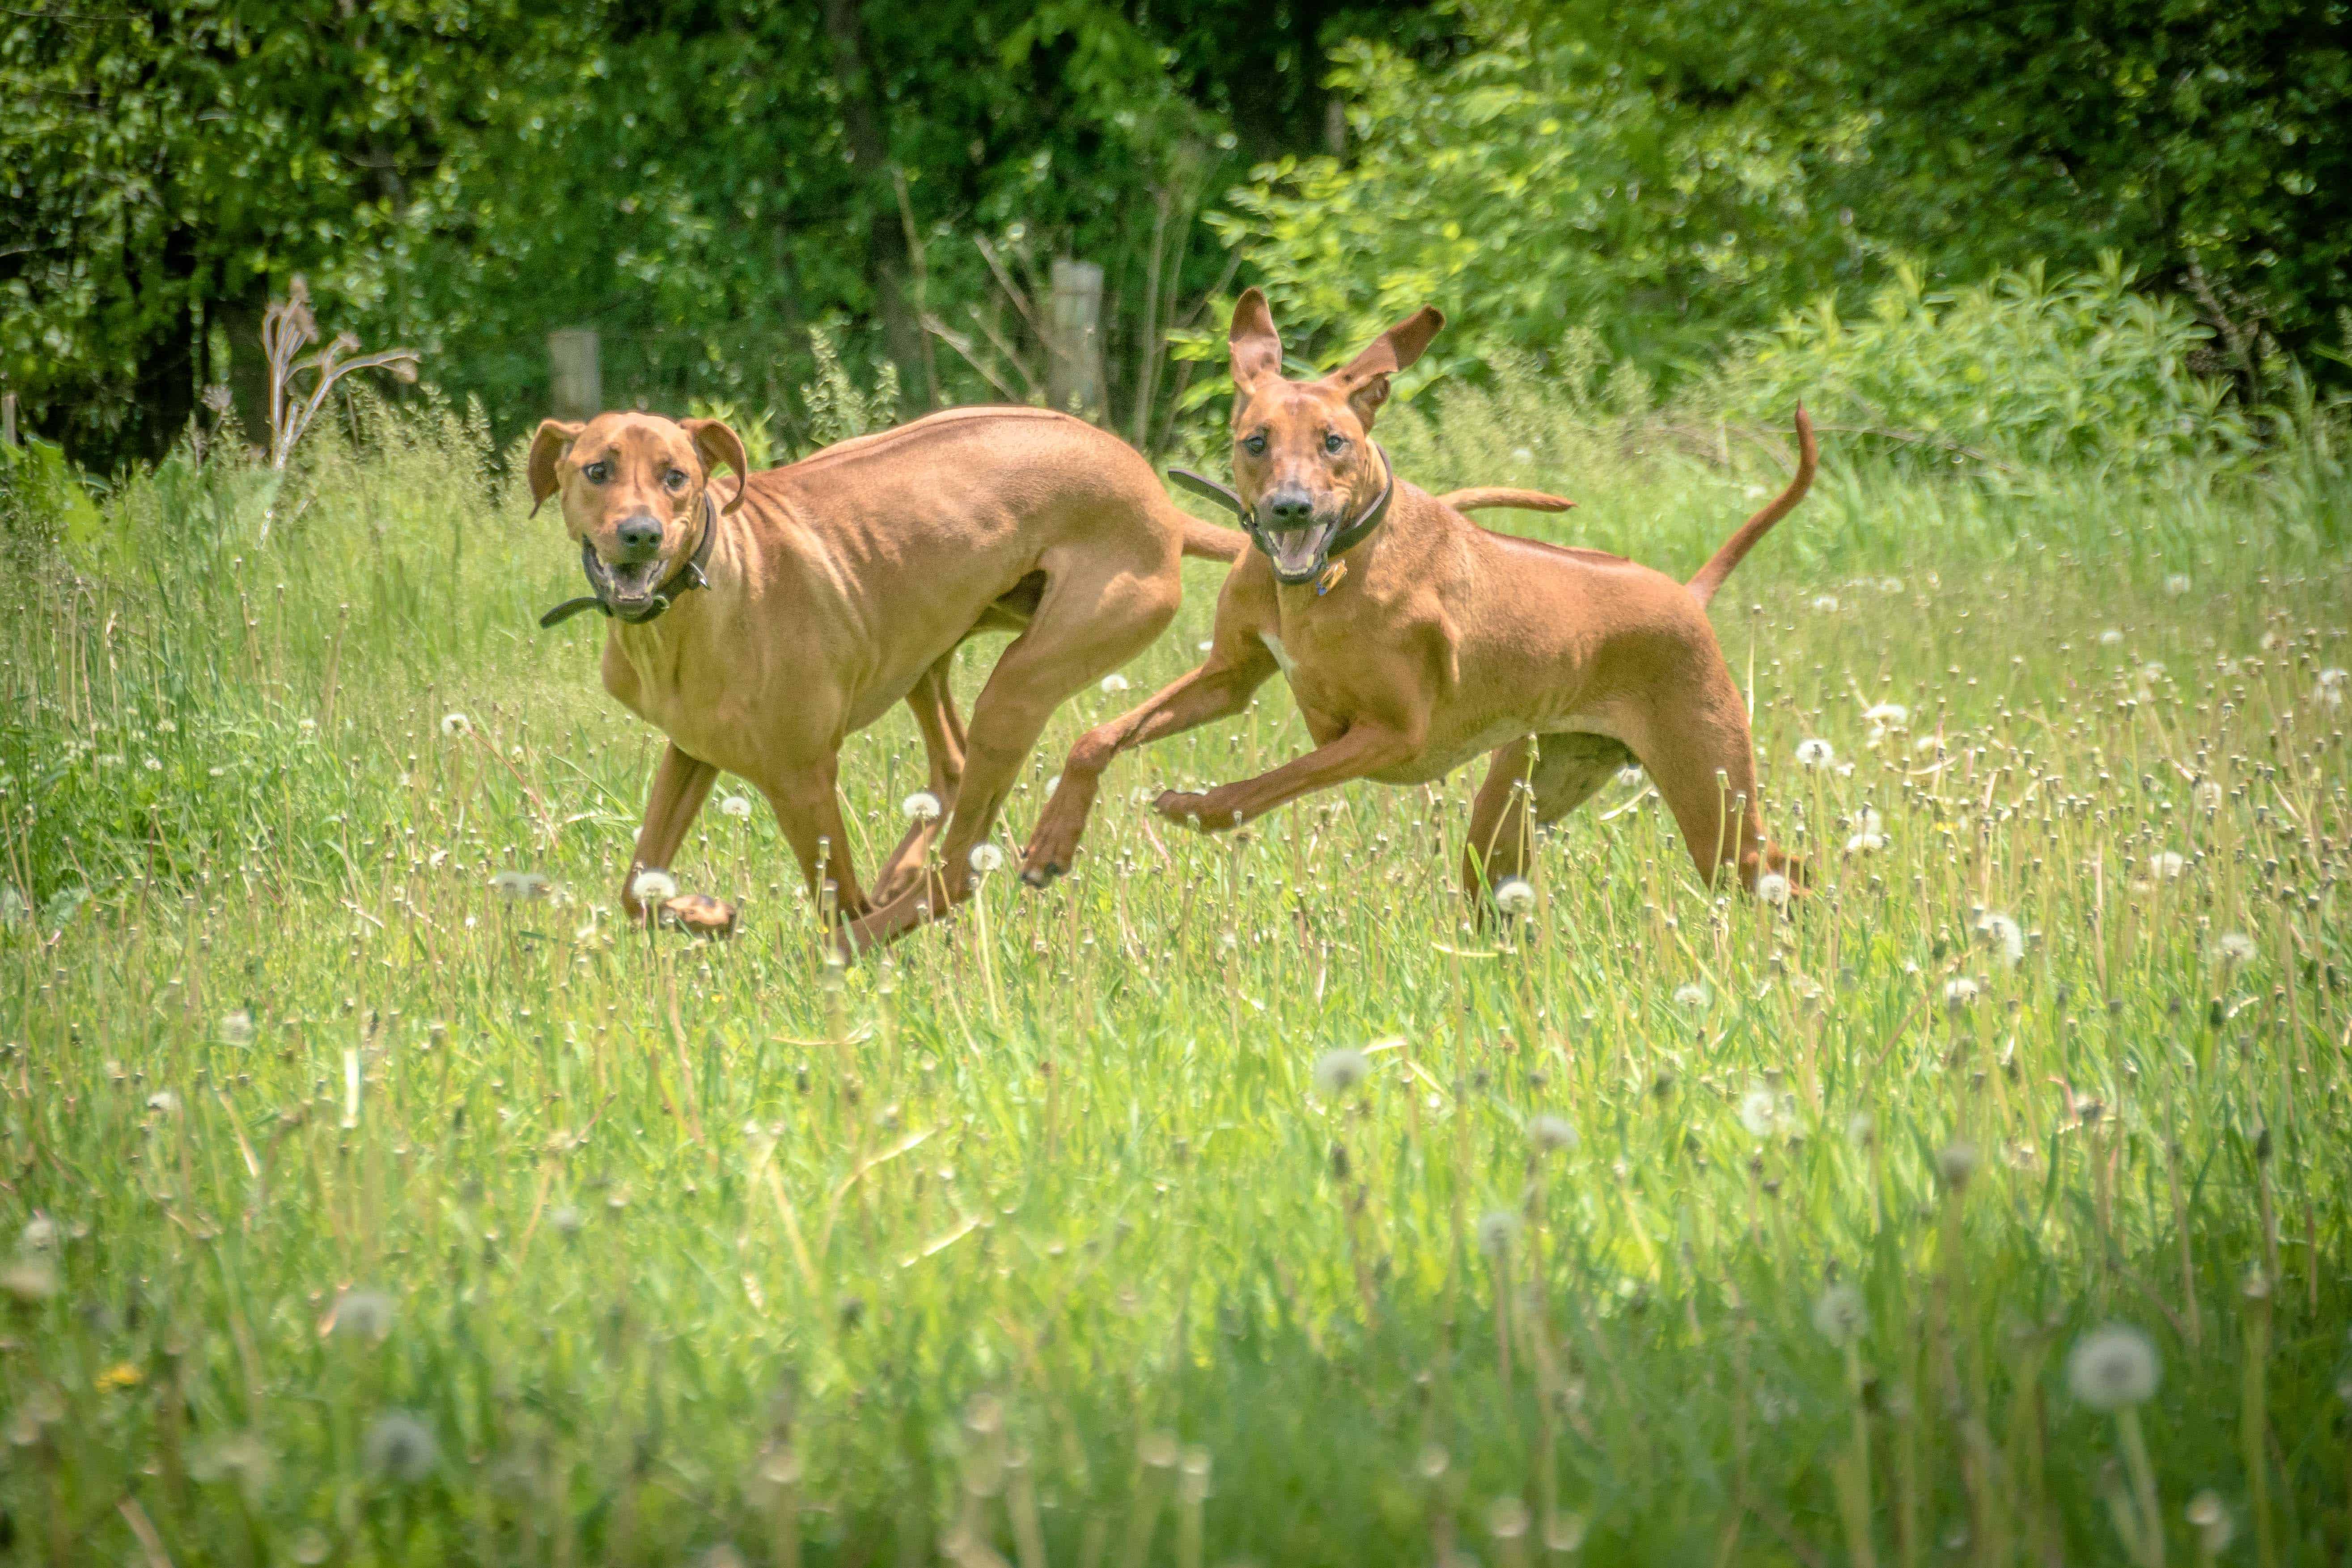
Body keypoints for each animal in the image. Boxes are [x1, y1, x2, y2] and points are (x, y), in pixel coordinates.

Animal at [524, 404, 1242, 945]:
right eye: (596, 470)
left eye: (676, 476)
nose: (641, 534)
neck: (696, 600)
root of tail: (1161, 503)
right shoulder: (691, 751)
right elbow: (634, 889)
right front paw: (705, 915)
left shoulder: (802, 777)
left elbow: (836, 893)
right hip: (929, 646)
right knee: (952, 765)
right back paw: (900, 877)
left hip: (1024, 678)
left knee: (958, 870)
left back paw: (864, 937)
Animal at [1016, 291, 1815, 907]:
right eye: (1254, 441)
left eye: (1334, 441)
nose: (1289, 508)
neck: (1326, 581)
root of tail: (1686, 593)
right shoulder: (1228, 678)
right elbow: (1095, 738)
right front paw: (1052, 839)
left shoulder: (1389, 735)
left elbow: (1264, 784)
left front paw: (1194, 809)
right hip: (1518, 807)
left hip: (1712, 801)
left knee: (1786, 871)